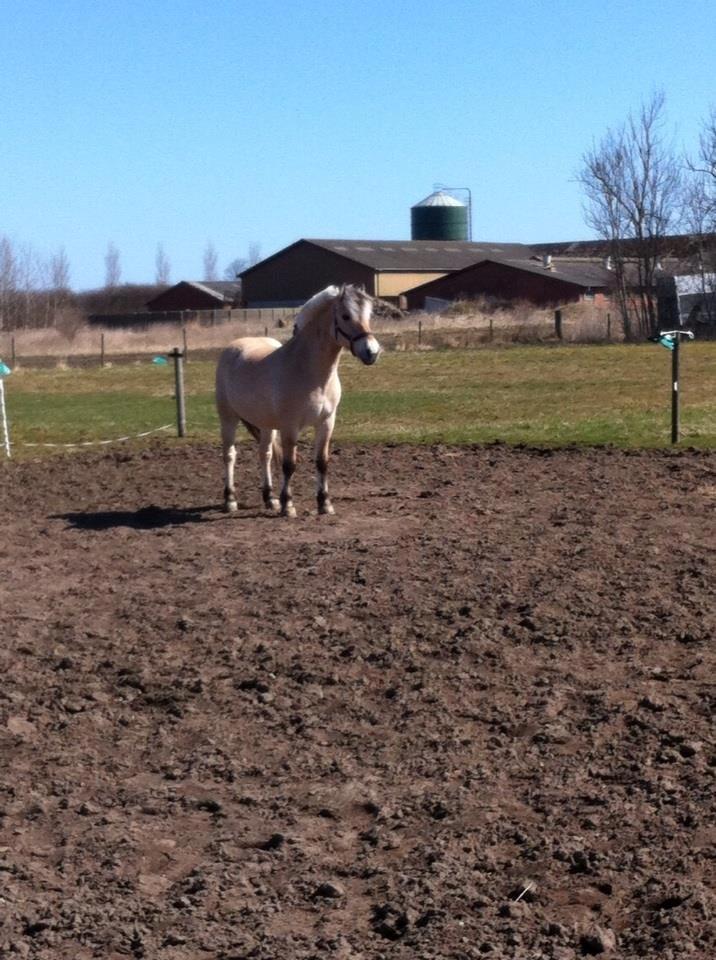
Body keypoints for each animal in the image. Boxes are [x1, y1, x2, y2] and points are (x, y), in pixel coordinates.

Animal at [214, 284, 380, 516]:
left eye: (369, 315)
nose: (371, 352)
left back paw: (270, 498)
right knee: (229, 455)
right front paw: (288, 505)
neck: (309, 371)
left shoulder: (326, 423)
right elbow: (289, 465)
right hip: (228, 418)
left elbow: (322, 462)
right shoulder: (290, 426)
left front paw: (325, 503)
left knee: (264, 454)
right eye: (346, 315)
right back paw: (230, 500)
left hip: (266, 424)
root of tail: (233, 348)